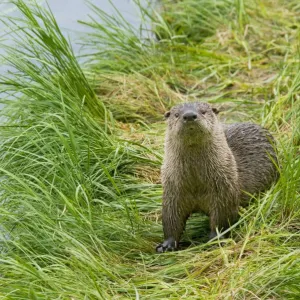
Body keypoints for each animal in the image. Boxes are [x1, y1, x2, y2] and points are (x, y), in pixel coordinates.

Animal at [157, 102, 278, 252]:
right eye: (176, 114)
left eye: (203, 111)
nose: (189, 115)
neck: (196, 184)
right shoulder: (172, 193)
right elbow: (171, 220)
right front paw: (167, 245)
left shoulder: (224, 192)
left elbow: (221, 219)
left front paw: (216, 240)